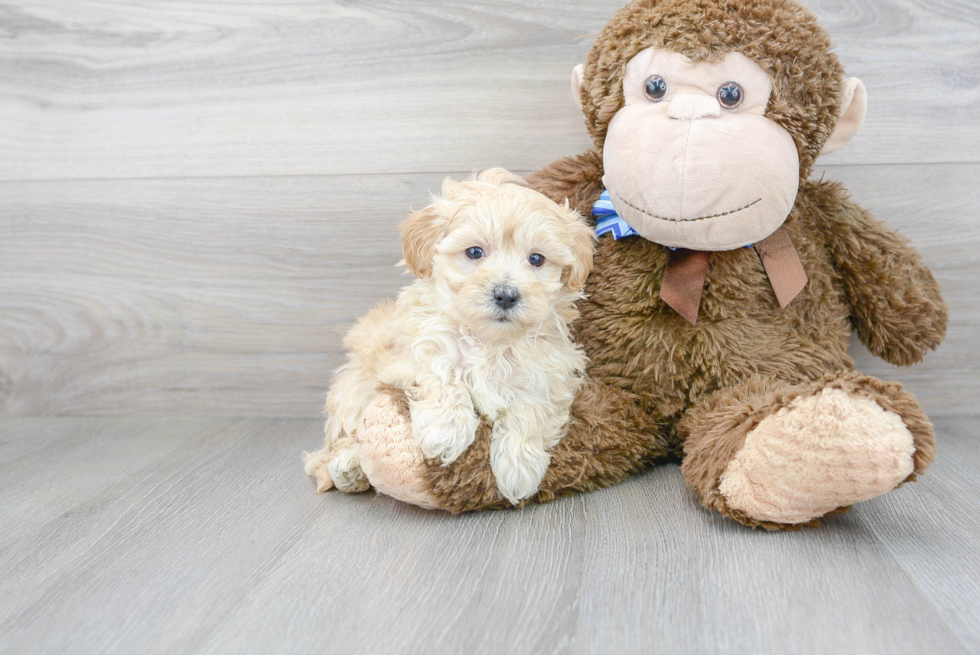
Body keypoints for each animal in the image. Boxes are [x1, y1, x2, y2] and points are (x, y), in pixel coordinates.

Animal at [302, 168, 592, 502]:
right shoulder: (412, 350)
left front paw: (519, 467)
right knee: (340, 440)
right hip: (352, 388)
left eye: (536, 259)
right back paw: (349, 465)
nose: (506, 295)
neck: (488, 341)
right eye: (474, 252)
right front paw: (445, 430)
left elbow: (530, 408)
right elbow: (441, 371)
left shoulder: (550, 373)